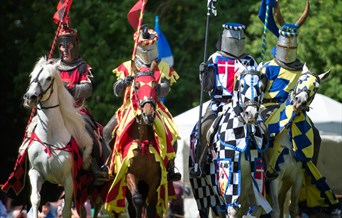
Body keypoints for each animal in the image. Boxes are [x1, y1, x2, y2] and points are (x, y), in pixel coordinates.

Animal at [105, 71, 175, 216]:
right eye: (136, 87)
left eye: (155, 87)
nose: (148, 114)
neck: (143, 141)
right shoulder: (129, 173)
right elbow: (137, 200)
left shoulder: (155, 178)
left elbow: (150, 207)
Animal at [188, 63, 272, 217]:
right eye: (242, 85)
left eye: (261, 86)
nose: (251, 114)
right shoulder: (228, 179)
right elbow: (232, 208)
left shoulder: (256, 184)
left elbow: (256, 208)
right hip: (205, 195)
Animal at [264, 63, 334, 217]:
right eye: (300, 80)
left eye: (316, 87)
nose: (299, 102)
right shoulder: (275, 175)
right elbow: (275, 210)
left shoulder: (297, 176)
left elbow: (293, 208)